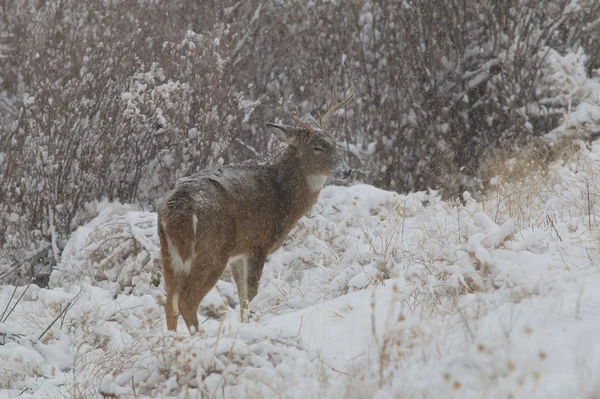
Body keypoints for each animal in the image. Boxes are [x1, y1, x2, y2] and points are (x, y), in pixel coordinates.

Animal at [159, 84, 354, 334]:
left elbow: (242, 294)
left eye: (335, 142)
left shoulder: (239, 252)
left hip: (169, 253)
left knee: (169, 303)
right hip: (213, 249)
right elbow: (250, 294)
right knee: (186, 300)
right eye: (317, 147)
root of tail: (178, 210)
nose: (346, 170)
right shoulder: (257, 243)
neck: (281, 195)